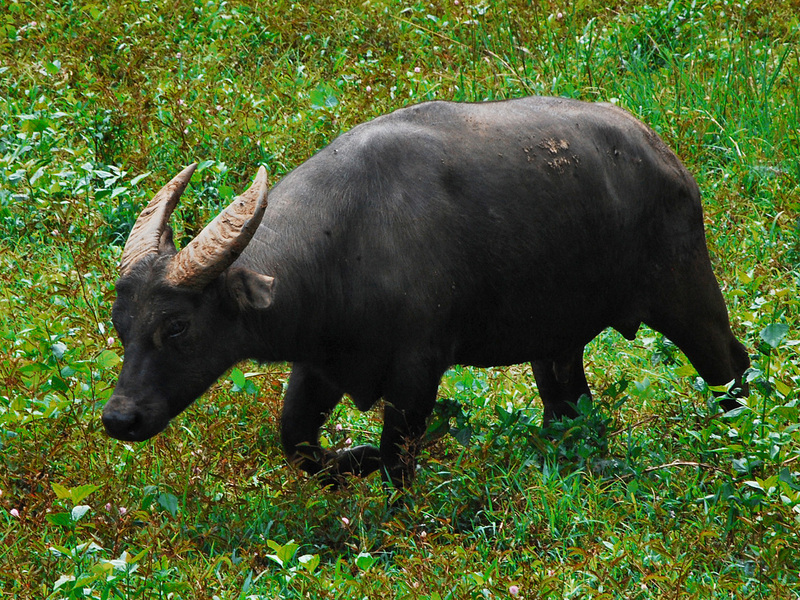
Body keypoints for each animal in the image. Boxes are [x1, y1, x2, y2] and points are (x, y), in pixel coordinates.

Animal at [101, 95, 752, 488]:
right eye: (120, 325)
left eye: (177, 326)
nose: (119, 418)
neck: (349, 241)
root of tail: (666, 158)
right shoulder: (319, 366)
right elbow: (298, 443)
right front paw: (350, 458)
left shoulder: (418, 373)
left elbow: (396, 460)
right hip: (556, 342)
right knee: (568, 402)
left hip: (687, 294)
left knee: (731, 362)